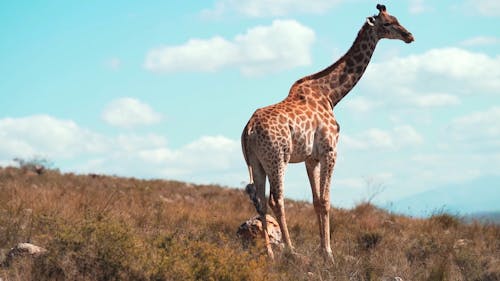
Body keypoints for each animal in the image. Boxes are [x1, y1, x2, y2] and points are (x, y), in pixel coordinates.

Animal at [242, 3, 414, 260]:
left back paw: (271, 254)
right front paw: (329, 253)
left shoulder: (310, 158)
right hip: (277, 157)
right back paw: (291, 251)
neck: (332, 95)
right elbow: (326, 200)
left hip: (256, 161)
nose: (409, 36)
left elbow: (316, 200)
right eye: (387, 23)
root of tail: (248, 130)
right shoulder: (330, 150)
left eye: (397, 18)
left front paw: (323, 248)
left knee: (261, 201)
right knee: (277, 199)